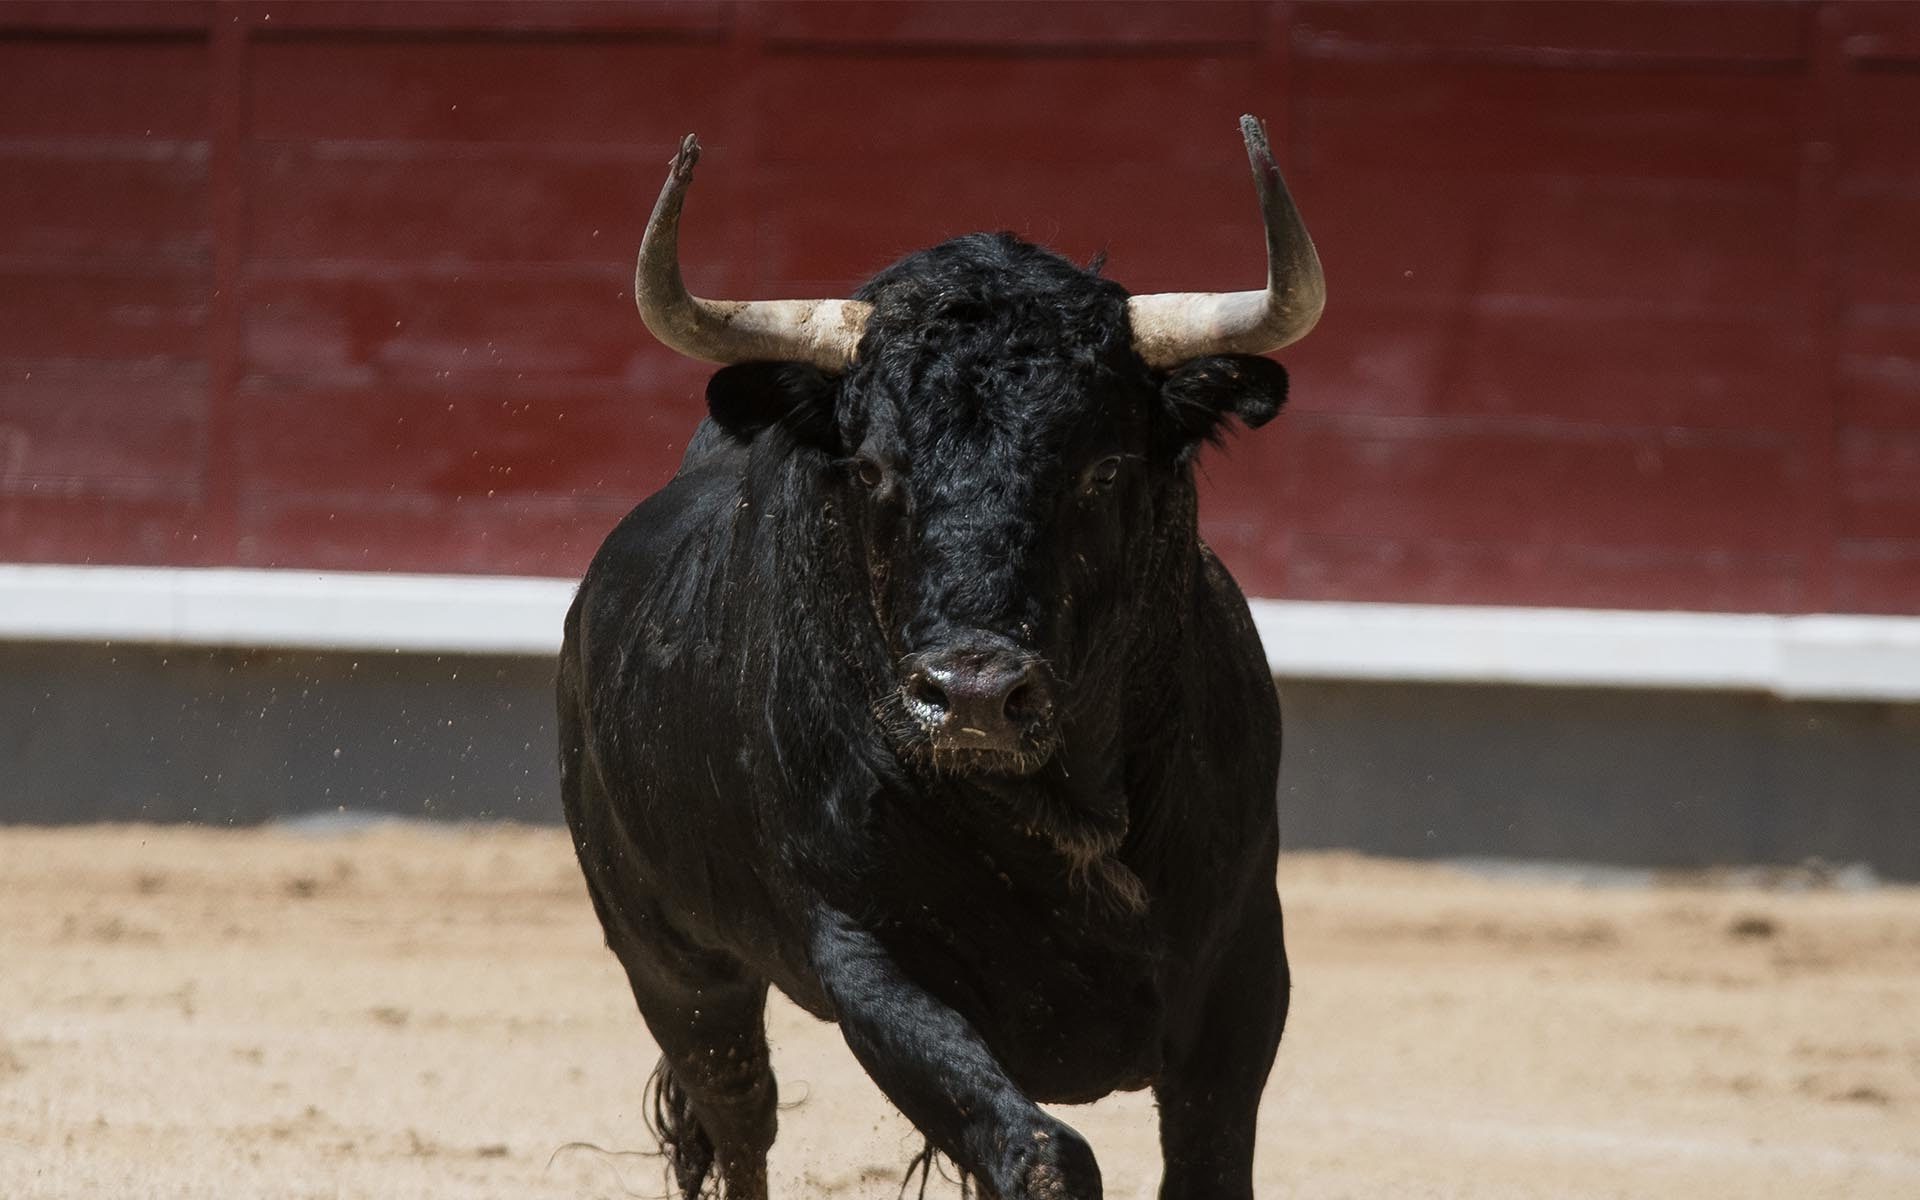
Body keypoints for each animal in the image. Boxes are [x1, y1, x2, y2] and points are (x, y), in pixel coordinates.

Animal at [557, 115, 1324, 1200]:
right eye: (875, 467)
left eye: (1102, 470)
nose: (972, 696)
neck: (1066, 806)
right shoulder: (864, 953)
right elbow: (1041, 1152)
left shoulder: (1244, 961)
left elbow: (1206, 1163)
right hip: (674, 967)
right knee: (742, 1117)